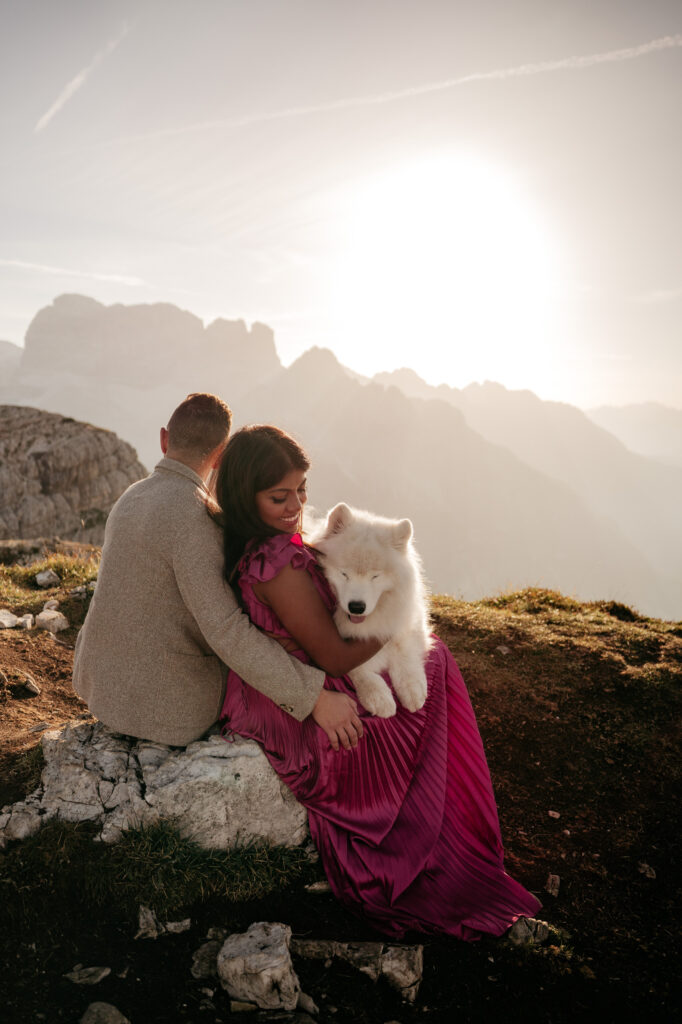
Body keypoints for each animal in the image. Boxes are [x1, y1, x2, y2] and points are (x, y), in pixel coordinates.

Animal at [311, 501, 430, 712]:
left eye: (375, 576)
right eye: (344, 573)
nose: (357, 607)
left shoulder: (409, 619)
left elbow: (405, 650)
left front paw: (412, 688)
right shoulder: (335, 650)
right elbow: (356, 667)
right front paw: (378, 696)